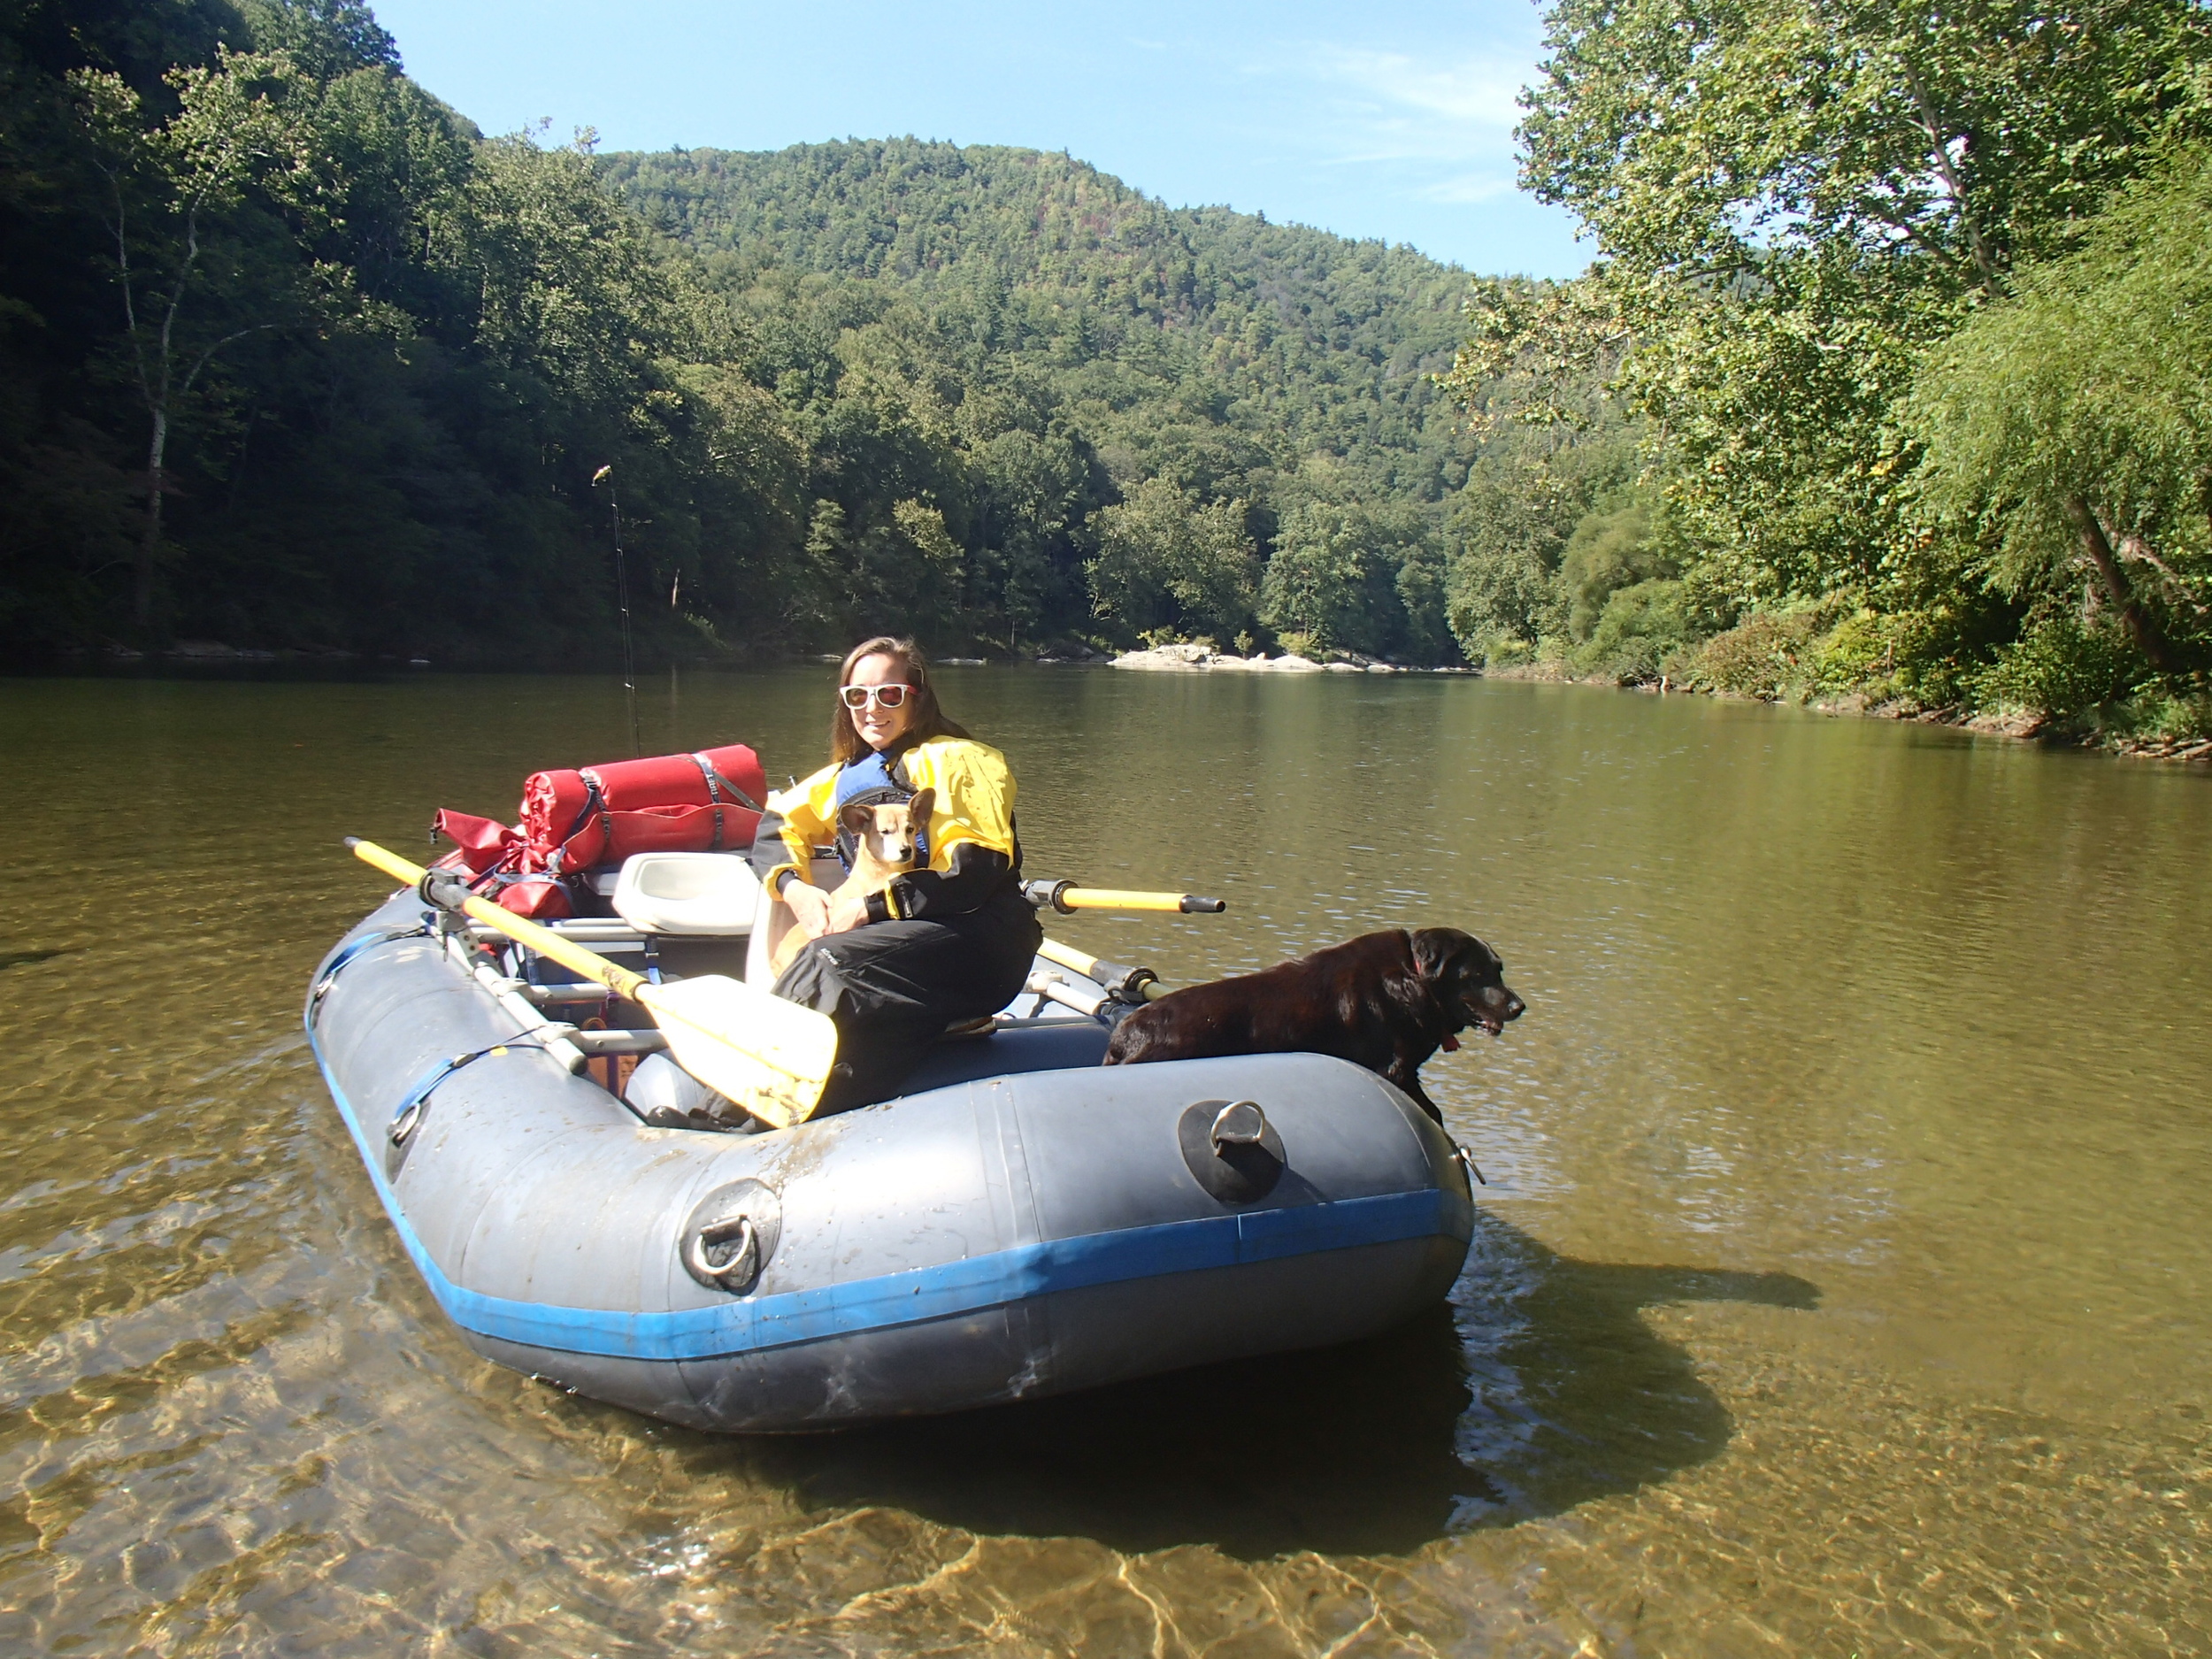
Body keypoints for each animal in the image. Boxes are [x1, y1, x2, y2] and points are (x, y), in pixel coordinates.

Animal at [1102, 929, 1522, 1124]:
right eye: (1478, 975)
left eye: (1499, 970)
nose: (1519, 1006)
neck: (1413, 977)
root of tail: (1123, 1037)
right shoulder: (1395, 1070)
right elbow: (1433, 1113)